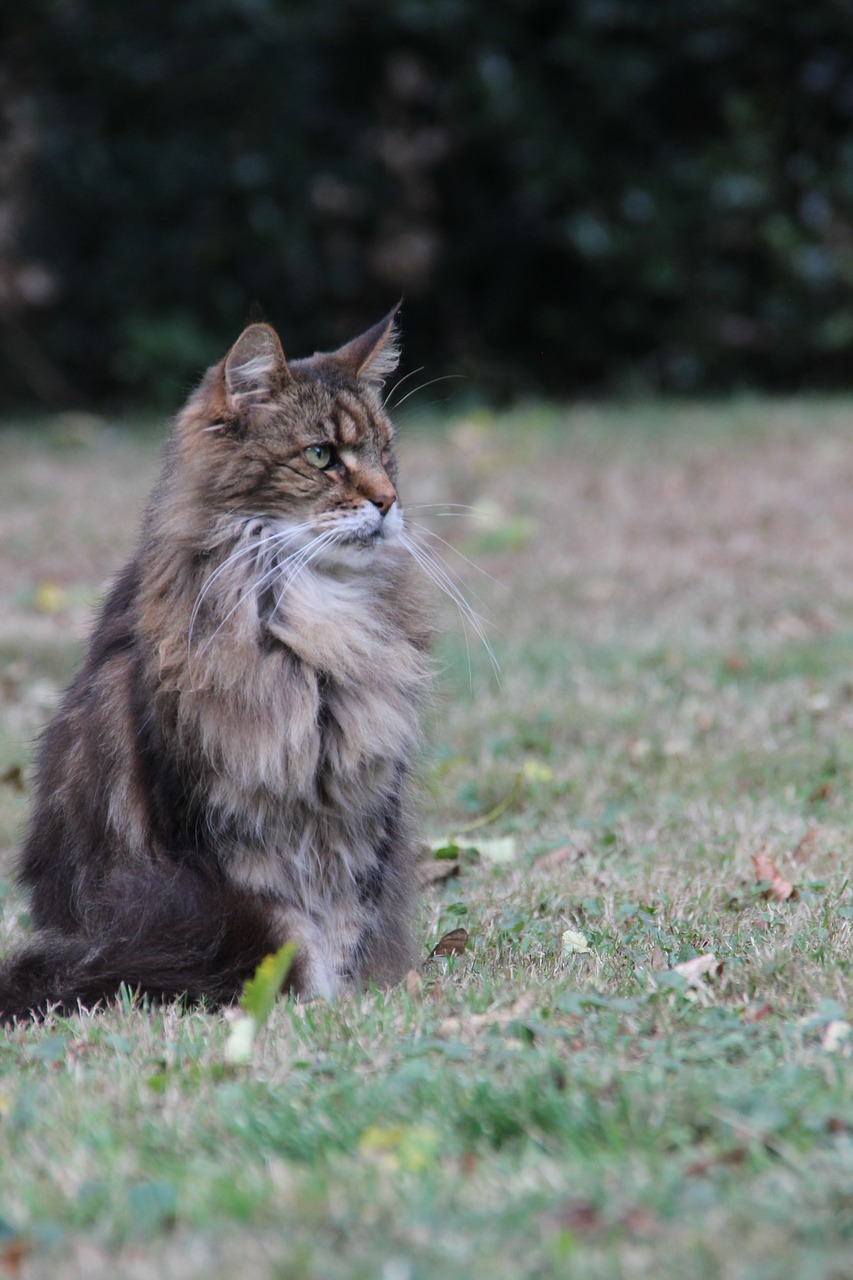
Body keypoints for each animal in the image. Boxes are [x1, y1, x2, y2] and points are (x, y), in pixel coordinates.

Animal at [0, 307, 435, 1018]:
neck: (313, 619)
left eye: (384, 453)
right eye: (322, 456)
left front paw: (345, 1000)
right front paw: (307, 1001)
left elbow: (346, 922)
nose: (388, 500)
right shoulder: (213, 825)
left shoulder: (362, 812)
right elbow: (291, 933)